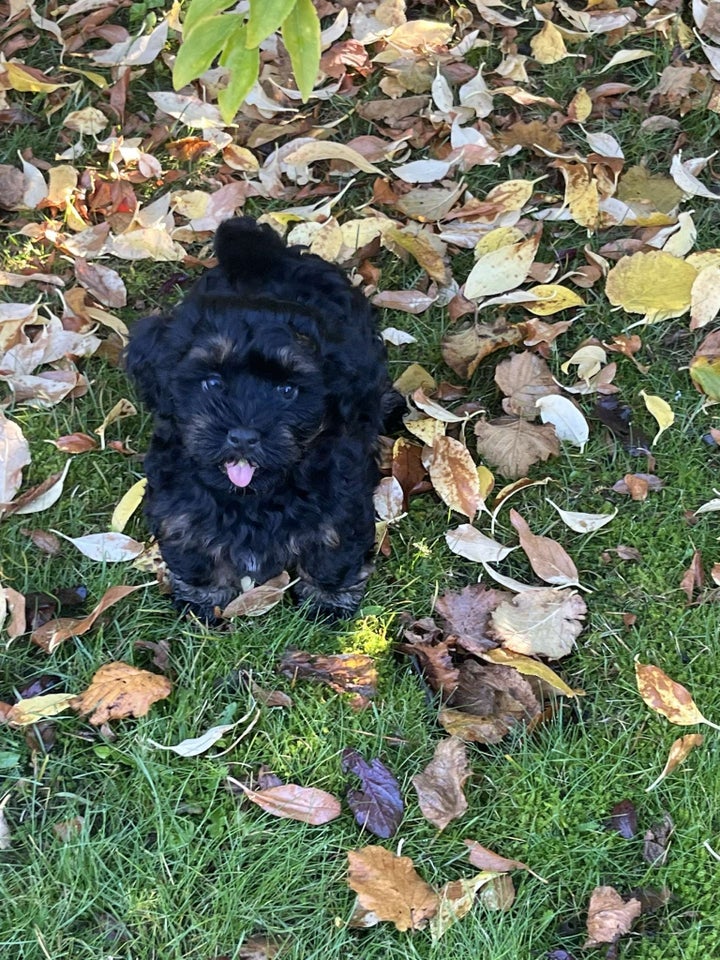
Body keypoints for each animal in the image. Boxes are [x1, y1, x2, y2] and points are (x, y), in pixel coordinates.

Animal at [126, 218, 396, 624]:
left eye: (287, 390)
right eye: (212, 383)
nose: (242, 436)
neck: (252, 497)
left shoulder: (341, 502)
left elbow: (333, 549)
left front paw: (327, 602)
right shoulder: (179, 503)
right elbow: (192, 547)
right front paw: (203, 602)